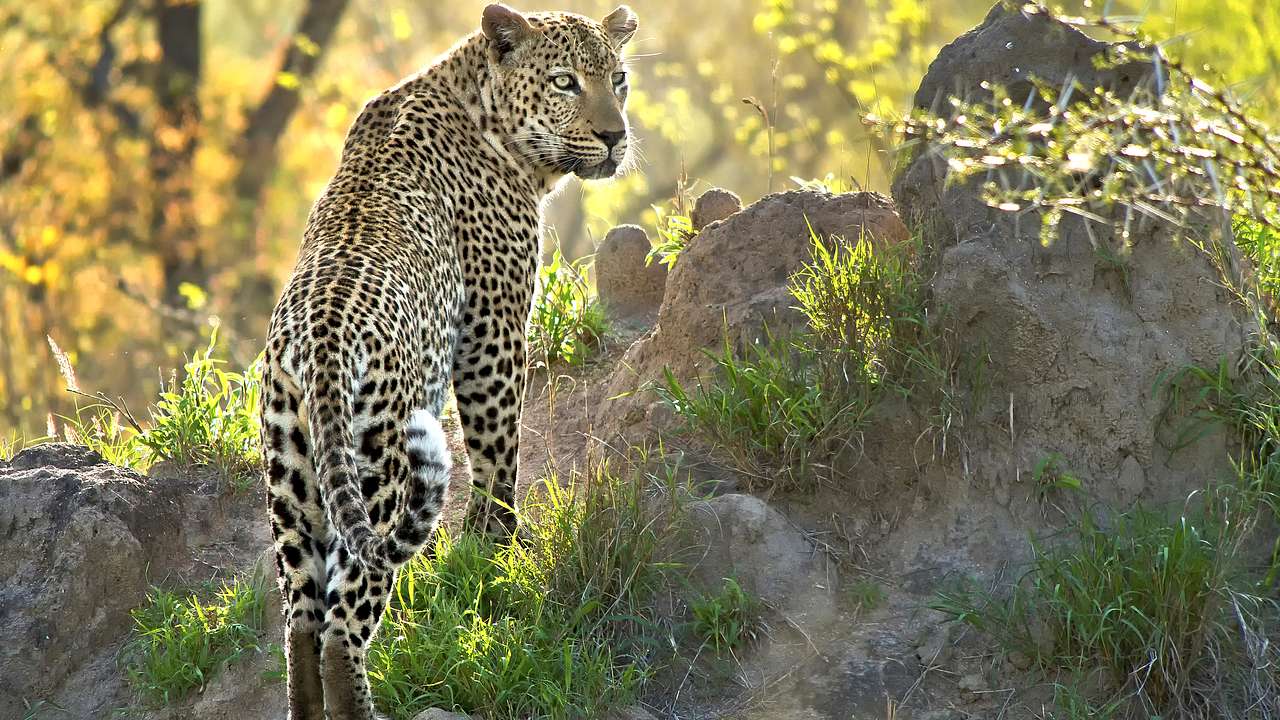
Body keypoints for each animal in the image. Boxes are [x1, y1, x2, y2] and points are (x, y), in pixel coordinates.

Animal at [257, 4, 638, 719]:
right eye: (566, 82)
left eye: (619, 79)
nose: (614, 136)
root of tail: (320, 343)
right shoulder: (494, 330)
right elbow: (498, 450)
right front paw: (499, 545)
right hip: (381, 471)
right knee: (343, 624)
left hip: (291, 477)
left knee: (301, 624)